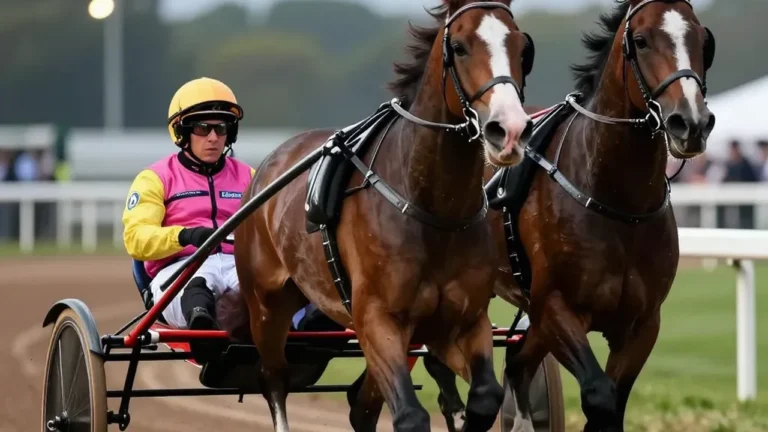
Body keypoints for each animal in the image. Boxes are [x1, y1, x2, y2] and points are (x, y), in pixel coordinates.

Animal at [230, 1, 536, 430]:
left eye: (523, 49)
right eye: (459, 47)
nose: (509, 131)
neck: (434, 208)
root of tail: (269, 164)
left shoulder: (465, 320)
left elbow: (485, 397)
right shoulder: (378, 319)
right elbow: (409, 414)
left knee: (361, 405)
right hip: (267, 305)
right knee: (274, 378)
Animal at [420, 0, 717, 431]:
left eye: (702, 39)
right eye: (641, 40)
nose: (690, 122)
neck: (616, 204)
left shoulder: (643, 323)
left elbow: (610, 398)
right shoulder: (556, 308)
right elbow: (598, 394)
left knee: (516, 363)